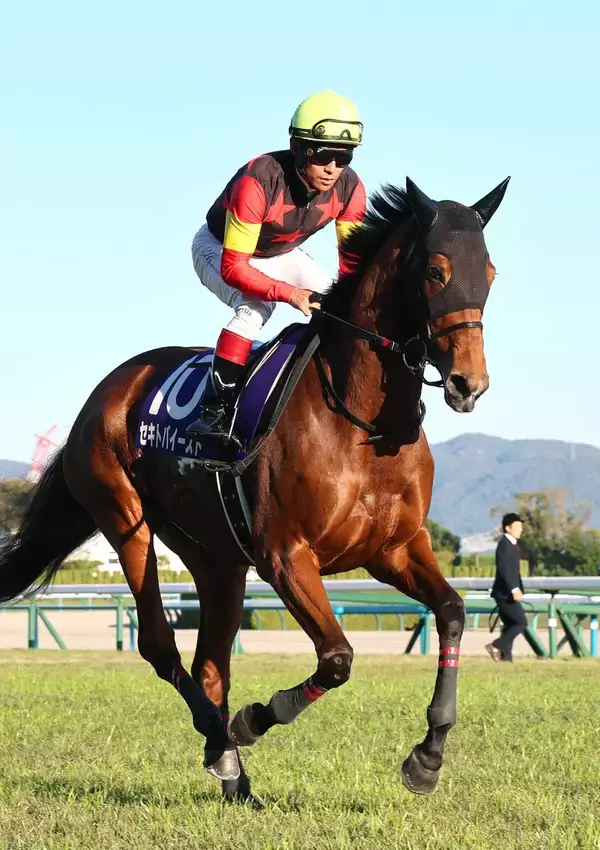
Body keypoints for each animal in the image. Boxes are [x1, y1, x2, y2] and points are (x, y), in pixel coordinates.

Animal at [0, 176, 509, 801]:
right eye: (437, 270)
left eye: (490, 272)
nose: (468, 383)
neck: (365, 423)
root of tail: (107, 391)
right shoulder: (285, 555)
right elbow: (337, 658)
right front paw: (255, 719)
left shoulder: (394, 549)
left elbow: (454, 611)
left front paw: (428, 757)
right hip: (126, 521)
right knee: (158, 644)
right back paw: (221, 740)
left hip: (217, 558)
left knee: (210, 663)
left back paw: (235, 779)